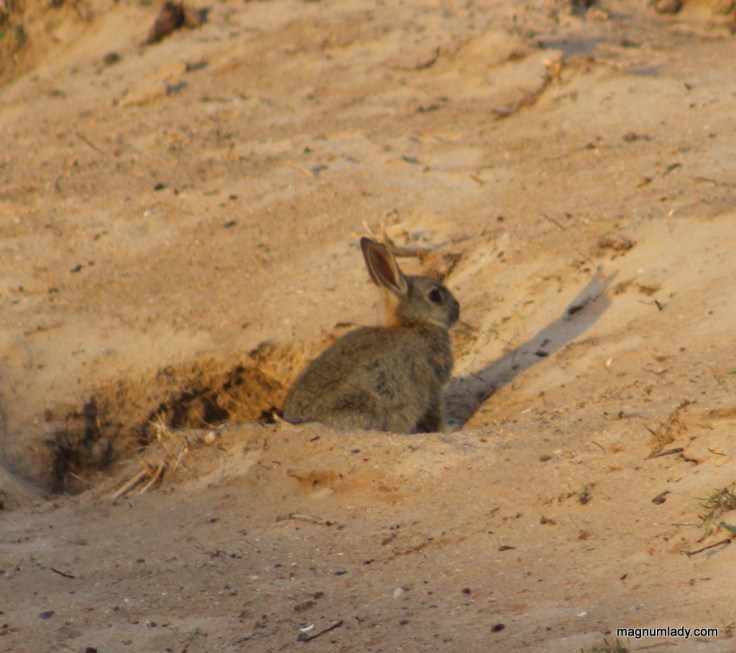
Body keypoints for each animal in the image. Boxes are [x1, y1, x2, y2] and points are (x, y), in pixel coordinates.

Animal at [283, 237, 460, 433]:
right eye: (435, 295)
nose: (457, 308)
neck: (413, 323)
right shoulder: (431, 383)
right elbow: (435, 414)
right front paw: (450, 427)